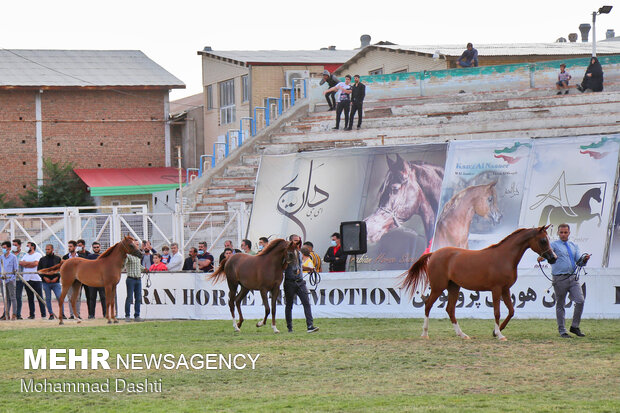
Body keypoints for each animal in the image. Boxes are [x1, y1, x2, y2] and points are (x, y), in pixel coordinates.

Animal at [402, 227, 556, 340]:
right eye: (543, 240)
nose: (553, 258)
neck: (505, 257)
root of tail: (433, 254)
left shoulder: (505, 289)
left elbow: (511, 311)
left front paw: (496, 331)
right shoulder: (496, 289)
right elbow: (497, 312)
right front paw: (499, 335)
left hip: (454, 287)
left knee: (450, 309)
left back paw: (462, 335)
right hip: (438, 287)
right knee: (428, 305)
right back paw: (425, 334)